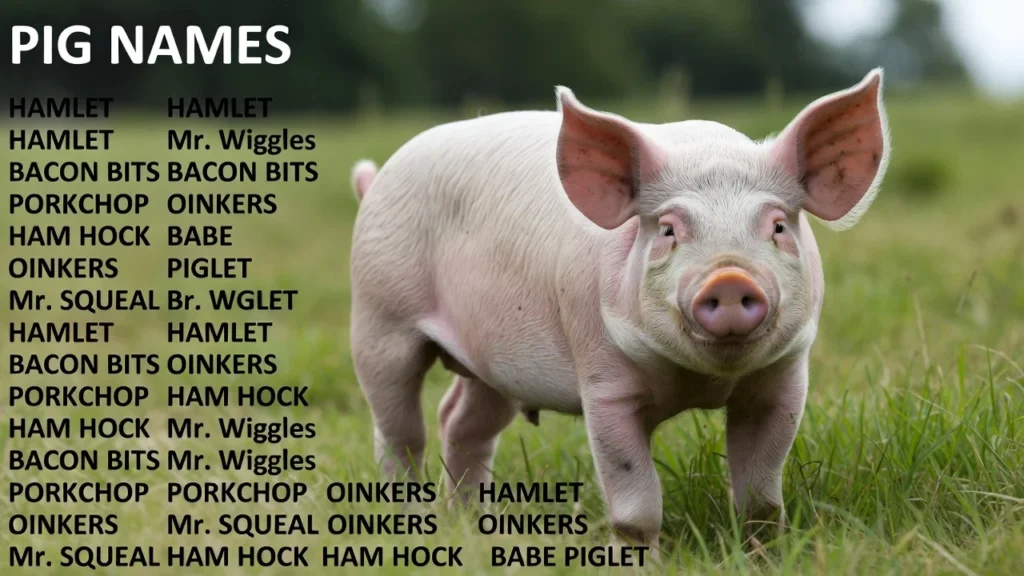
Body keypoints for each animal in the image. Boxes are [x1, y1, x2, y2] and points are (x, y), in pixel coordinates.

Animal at [348, 69, 890, 548]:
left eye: (777, 226)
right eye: (668, 229)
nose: (730, 277)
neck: (700, 380)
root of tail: (376, 183)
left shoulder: (783, 378)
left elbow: (761, 498)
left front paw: (762, 554)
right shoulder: (604, 385)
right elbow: (635, 505)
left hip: (494, 363)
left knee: (461, 421)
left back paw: (469, 523)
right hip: (378, 320)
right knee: (399, 435)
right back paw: (410, 520)